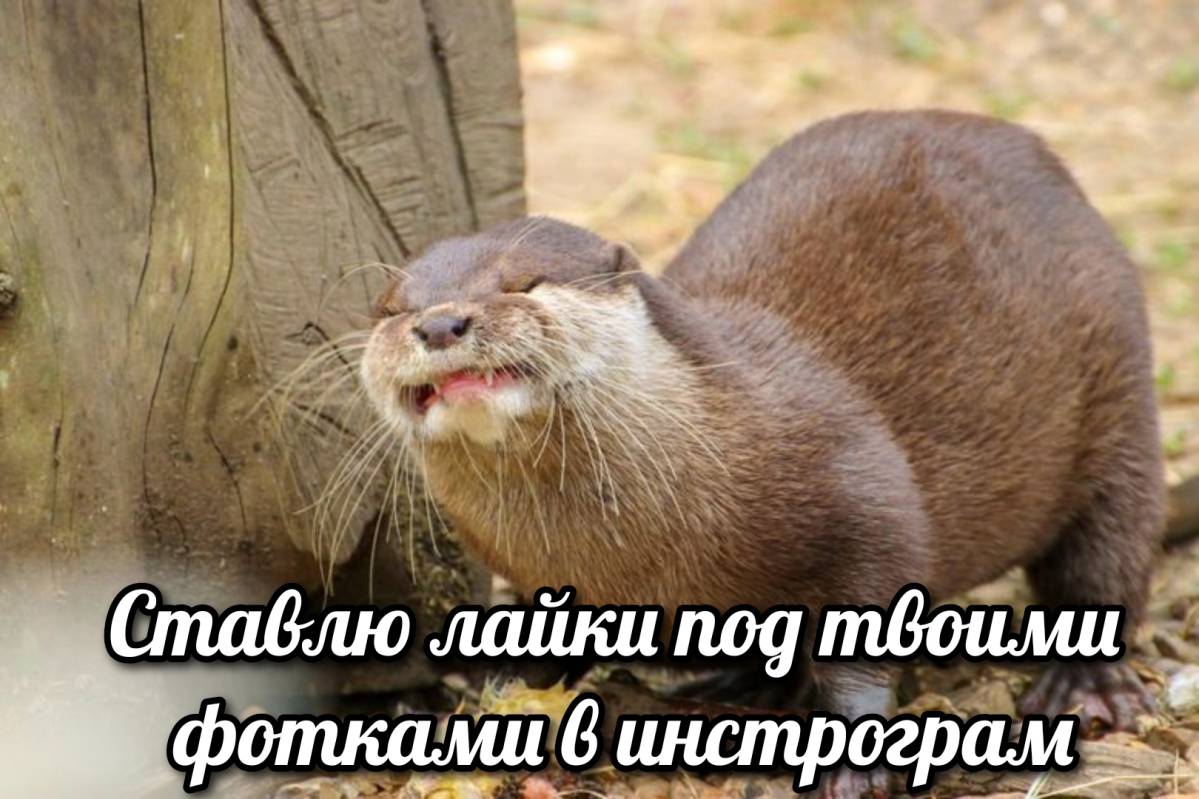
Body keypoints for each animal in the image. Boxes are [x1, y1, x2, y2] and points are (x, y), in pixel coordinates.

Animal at [360, 110, 1164, 797]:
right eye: (393, 308)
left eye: (523, 282)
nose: (439, 322)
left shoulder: (861, 493)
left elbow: (864, 630)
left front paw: (857, 758)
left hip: (1119, 389)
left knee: (1107, 551)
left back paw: (1083, 686)